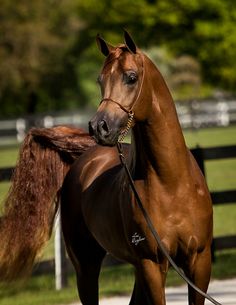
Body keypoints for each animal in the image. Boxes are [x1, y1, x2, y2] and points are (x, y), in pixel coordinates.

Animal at [0, 33, 212, 304]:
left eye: (131, 77)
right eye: (100, 80)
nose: (99, 127)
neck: (173, 184)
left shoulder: (199, 262)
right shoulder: (152, 263)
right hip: (87, 265)